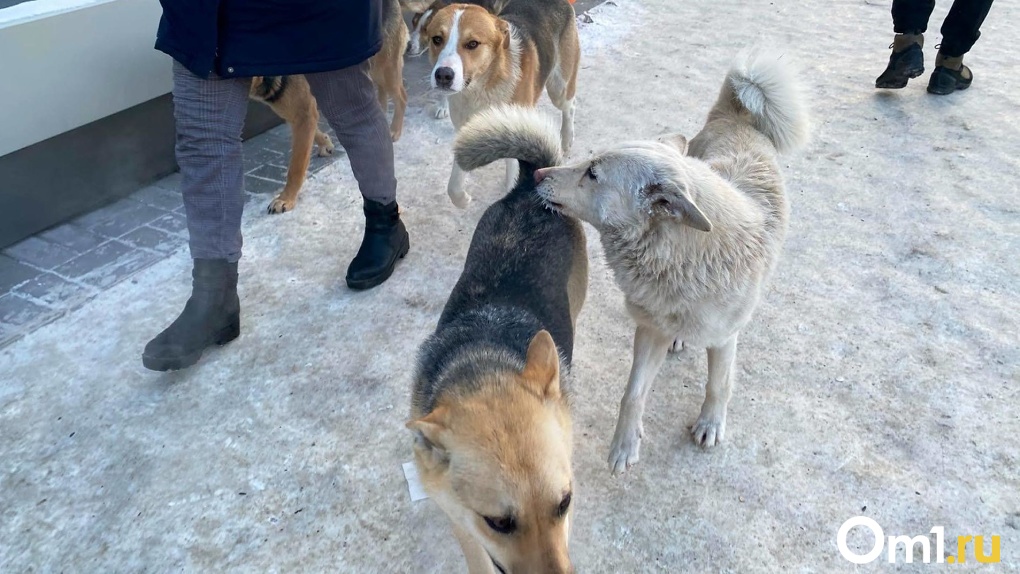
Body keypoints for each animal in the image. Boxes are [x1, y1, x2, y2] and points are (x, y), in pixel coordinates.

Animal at [534, 49, 811, 473]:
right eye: (590, 161)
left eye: (593, 172)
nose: (537, 173)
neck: (682, 258)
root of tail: (738, 118)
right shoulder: (650, 329)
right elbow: (632, 393)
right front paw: (624, 446)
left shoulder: (724, 337)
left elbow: (719, 383)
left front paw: (710, 424)